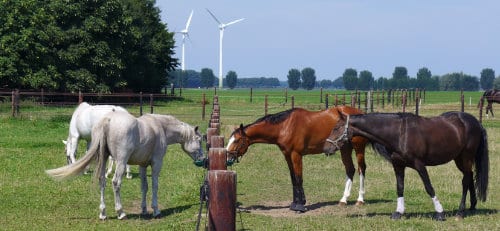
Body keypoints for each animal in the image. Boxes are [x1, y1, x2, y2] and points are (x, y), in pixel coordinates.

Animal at [46, 111, 203, 219]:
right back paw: (120, 212)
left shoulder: (142, 166)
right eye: (199, 140)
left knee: (102, 181)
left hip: (104, 159)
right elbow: (154, 185)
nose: (202, 159)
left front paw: (144, 209)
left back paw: (103, 213)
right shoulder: (156, 164)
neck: (160, 127)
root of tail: (108, 120)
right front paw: (156, 210)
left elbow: (144, 186)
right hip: (121, 162)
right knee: (116, 182)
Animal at [226, 105, 368, 212]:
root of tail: (360, 112)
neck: (285, 126)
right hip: (345, 148)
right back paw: (343, 200)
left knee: (361, 169)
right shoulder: (287, 155)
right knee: (350, 170)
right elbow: (293, 179)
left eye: (237, 140)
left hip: (358, 147)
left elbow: (299, 179)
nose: (227, 157)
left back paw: (360, 200)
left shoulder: (296, 155)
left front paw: (300, 206)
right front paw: (295, 203)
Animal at [322, 112, 490, 220]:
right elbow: (400, 187)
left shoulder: (420, 165)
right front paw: (399, 212)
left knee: (465, 181)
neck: (399, 133)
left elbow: (429, 187)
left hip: (466, 157)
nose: (326, 148)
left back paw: (460, 212)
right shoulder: (398, 165)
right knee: (469, 177)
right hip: (459, 159)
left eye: (336, 128)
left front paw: (440, 212)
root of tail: (476, 122)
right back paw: (471, 206)